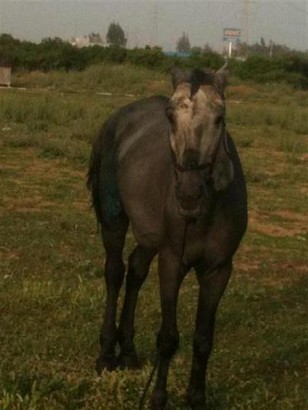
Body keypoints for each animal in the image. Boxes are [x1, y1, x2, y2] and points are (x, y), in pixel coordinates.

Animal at [87, 65, 248, 408]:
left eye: (220, 117)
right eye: (170, 116)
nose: (188, 194)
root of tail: (118, 118)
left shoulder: (218, 270)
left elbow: (203, 339)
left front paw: (196, 397)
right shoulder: (172, 263)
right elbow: (168, 338)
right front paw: (158, 397)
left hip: (149, 237)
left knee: (135, 272)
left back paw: (128, 352)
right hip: (114, 221)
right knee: (115, 272)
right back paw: (106, 354)